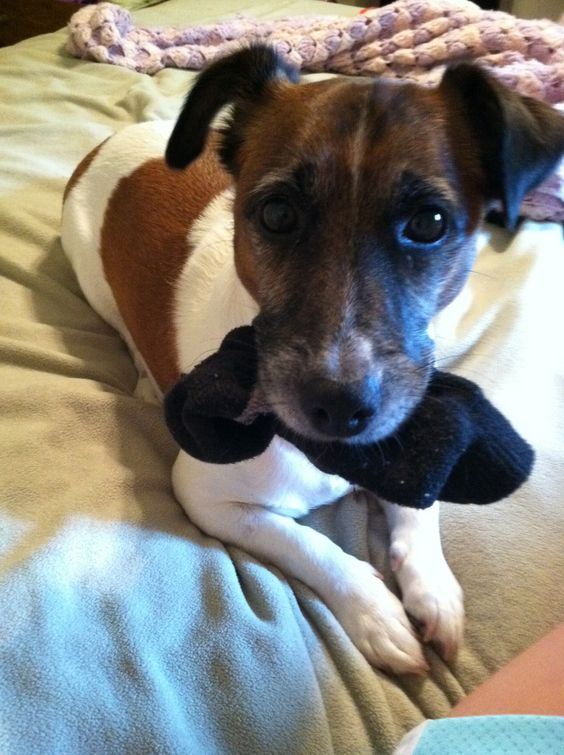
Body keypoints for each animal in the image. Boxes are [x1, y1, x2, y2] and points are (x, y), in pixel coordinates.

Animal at [60, 45, 564, 672]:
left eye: (430, 224)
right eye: (277, 214)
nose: (340, 408)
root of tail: (109, 141)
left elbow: (419, 509)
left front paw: (433, 587)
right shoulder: (207, 498)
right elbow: (309, 544)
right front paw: (377, 614)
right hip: (93, 281)